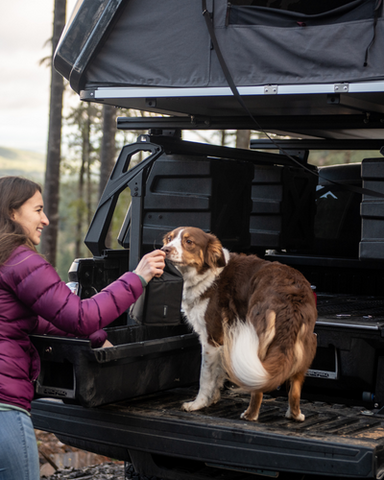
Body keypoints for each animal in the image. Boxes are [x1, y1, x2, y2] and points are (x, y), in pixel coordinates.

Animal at [162, 227, 318, 422]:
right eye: (169, 238)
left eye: (189, 242)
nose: (165, 249)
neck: (207, 274)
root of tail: (292, 297)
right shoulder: (224, 341)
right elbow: (219, 372)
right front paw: (213, 399)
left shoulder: (211, 339)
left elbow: (205, 376)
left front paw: (198, 404)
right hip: (307, 342)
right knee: (295, 386)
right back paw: (295, 415)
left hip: (256, 339)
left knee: (258, 383)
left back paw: (250, 415)